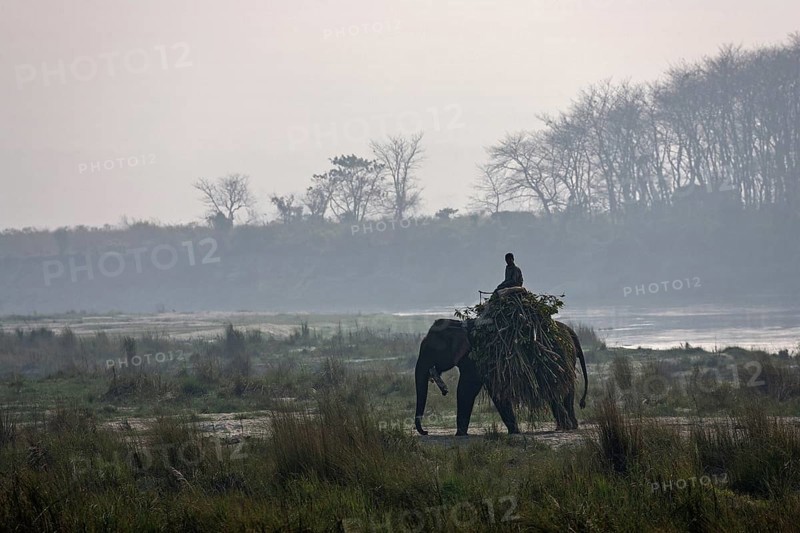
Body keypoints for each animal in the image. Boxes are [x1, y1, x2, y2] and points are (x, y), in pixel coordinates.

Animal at [414, 319, 588, 436]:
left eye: (430, 350)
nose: (426, 432)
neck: (458, 324)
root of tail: (572, 333)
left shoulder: (476, 357)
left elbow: (467, 389)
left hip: (558, 357)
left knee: (557, 388)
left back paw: (566, 426)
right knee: (564, 390)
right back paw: (569, 426)